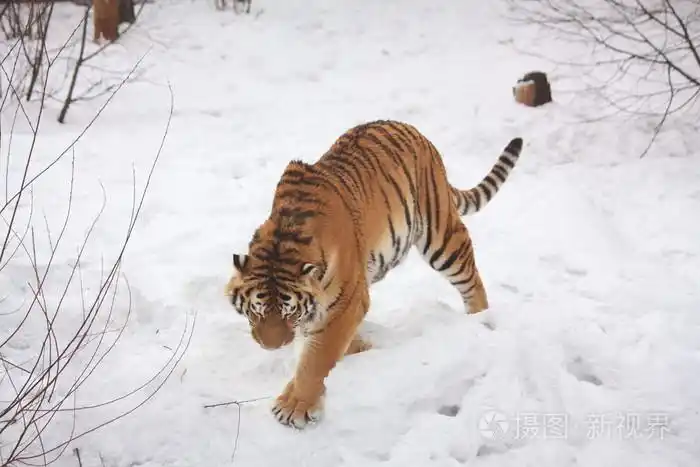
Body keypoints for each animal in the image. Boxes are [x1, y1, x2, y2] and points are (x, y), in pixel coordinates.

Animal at [224, 119, 523, 429]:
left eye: (289, 312)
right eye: (255, 311)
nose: (271, 347)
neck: (283, 241)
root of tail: (414, 131)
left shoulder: (345, 302)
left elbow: (316, 359)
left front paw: (295, 406)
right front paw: (358, 349)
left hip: (442, 236)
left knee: (471, 281)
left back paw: (480, 320)